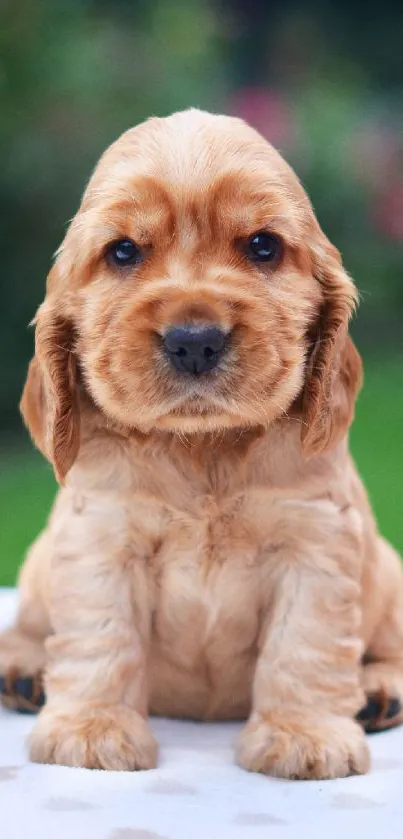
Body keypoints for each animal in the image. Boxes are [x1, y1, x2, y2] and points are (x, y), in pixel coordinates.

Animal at [1, 110, 402, 780]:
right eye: (123, 251)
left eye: (263, 246)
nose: (194, 340)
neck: (202, 447)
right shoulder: (102, 540)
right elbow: (102, 638)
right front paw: (91, 730)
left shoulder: (315, 542)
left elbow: (304, 644)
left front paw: (303, 736)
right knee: (31, 624)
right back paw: (24, 672)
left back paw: (378, 692)